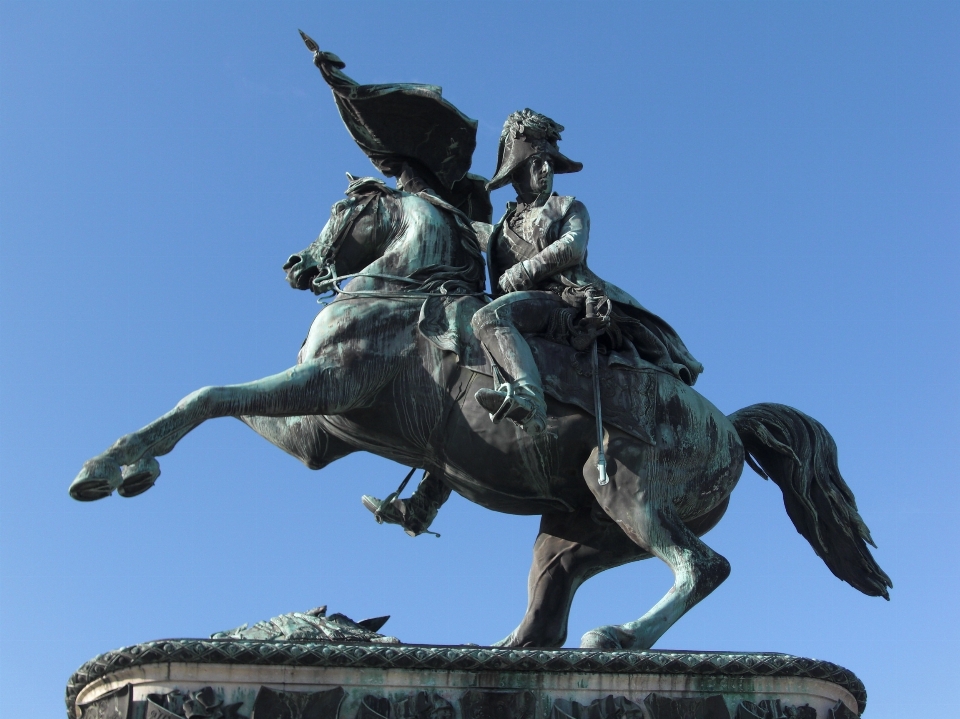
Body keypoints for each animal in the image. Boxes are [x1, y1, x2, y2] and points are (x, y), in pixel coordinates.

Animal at [69, 176, 892, 652]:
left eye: (341, 205)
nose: (297, 266)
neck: (397, 288)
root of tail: (729, 426)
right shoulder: (317, 431)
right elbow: (213, 399)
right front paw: (123, 462)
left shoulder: (327, 384)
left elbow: (207, 396)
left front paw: (111, 467)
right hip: (574, 534)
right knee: (546, 619)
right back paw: (501, 653)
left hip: (628, 493)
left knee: (701, 565)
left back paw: (620, 637)